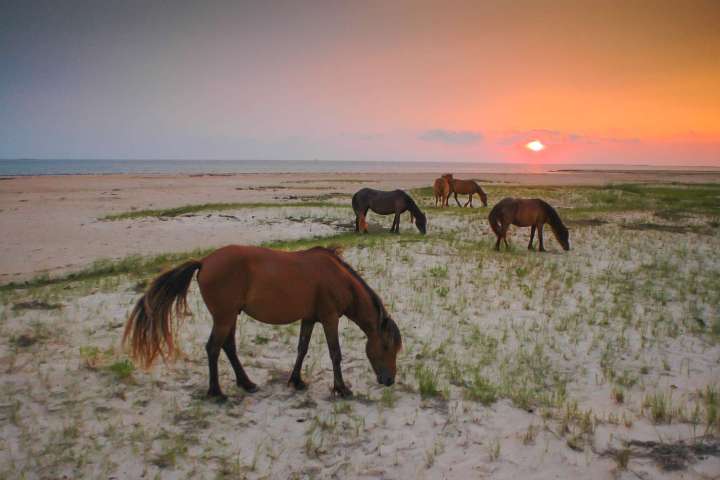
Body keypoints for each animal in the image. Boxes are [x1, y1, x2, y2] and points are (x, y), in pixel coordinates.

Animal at [123, 245, 402, 399]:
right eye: (387, 347)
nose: (389, 380)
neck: (337, 277)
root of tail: (204, 262)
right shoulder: (329, 318)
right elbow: (335, 353)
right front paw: (341, 389)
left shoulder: (309, 318)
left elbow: (302, 349)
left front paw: (296, 381)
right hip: (224, 317)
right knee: (214, 348)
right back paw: (217, 392)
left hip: (230, 317)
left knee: (228, 347)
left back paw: (246, 383)